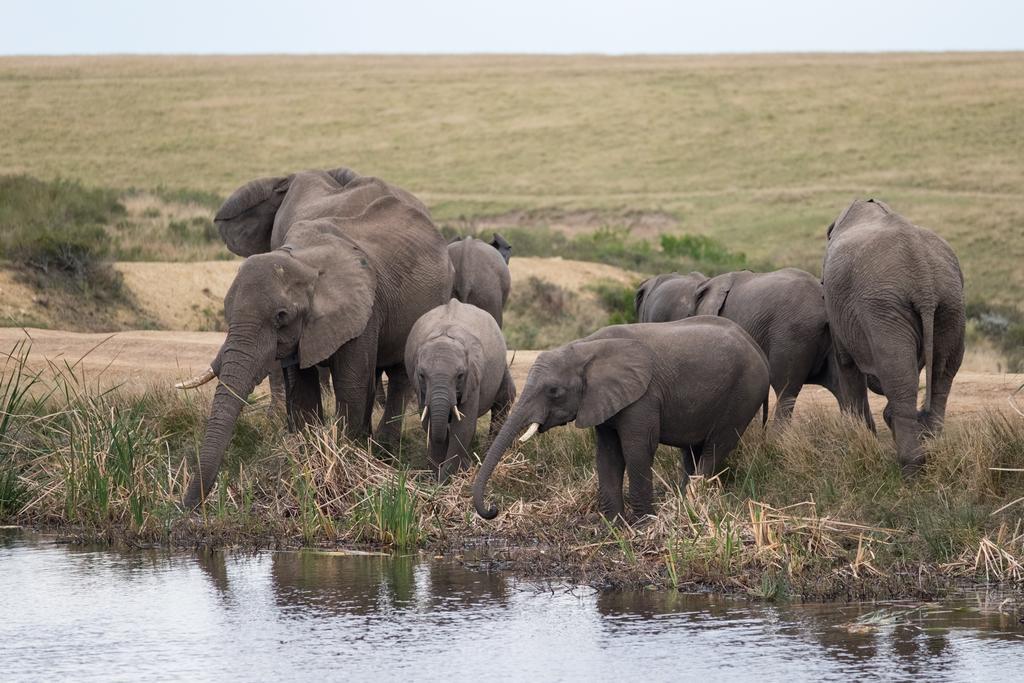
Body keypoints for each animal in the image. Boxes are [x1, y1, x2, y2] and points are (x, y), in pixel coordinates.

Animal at [176, 174, 452, 509]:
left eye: (281, 316)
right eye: (228, 312)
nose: (188, 505)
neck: (302, 259)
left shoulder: (364, 308)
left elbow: (351, 383)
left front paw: (348, 456)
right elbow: (302, 387)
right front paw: (307, 454)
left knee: (400, 374)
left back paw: (385, 450)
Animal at [403, 299, 516, 481]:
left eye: (460, 375)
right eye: (421, 375)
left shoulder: (473, 379)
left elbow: (463, 427)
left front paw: (447, 478)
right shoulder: (420, 387)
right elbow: (428, 423)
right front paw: (436, 477)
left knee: (504, 400)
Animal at [471, 317, 770, 520]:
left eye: (554, 391)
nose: (493, 509)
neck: (585, 348)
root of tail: (758, 349)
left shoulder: (643, 396)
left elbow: (636, 448)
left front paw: (642, 524)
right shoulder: (603, 399)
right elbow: (608, 453)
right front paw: (613, 525)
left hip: (744, 394)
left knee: (715, 448)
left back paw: (686, 505)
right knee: (693, 452)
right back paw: (682, 505)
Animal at [819, 198, 962, 471]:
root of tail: (923, 276)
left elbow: (846, 364)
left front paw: (858, 438)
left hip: (885, 307)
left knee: (900, 376)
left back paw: (911, 466)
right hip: (948, 303)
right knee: (942, 374)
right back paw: (929, 446)